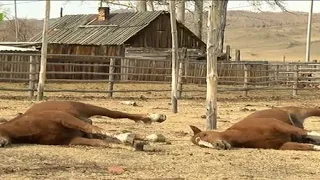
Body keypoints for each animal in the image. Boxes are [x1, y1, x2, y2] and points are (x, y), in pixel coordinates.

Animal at [0, 100, 165, 148]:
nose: (2, 143)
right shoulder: (71, 140)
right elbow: (102, 142)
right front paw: (131, 144)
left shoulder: (65, 118)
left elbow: (93, 128)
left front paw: (125, 138)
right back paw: (154, 137)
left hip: (88, 107)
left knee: (117, 114)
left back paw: (156, 117)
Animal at [191, 106, 320, 151]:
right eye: (202, 145)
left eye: (204, 135)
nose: (218, 145)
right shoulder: (282, 145)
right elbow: (309, 146)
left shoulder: (278, 124)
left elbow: (309, 132)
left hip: (305, 111)